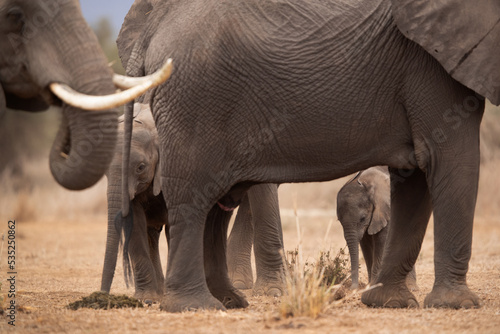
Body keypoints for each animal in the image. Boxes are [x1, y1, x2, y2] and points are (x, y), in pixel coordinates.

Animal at [118, 0, 500, 312]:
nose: (347, 291)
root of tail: (154, 26)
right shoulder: (431, 65)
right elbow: (450, 158)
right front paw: (457, 305)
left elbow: (415, 178)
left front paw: (391, 303)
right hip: (196, 100)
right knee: (195, 195)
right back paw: (195, 306)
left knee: (215, 201)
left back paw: (229, 301)